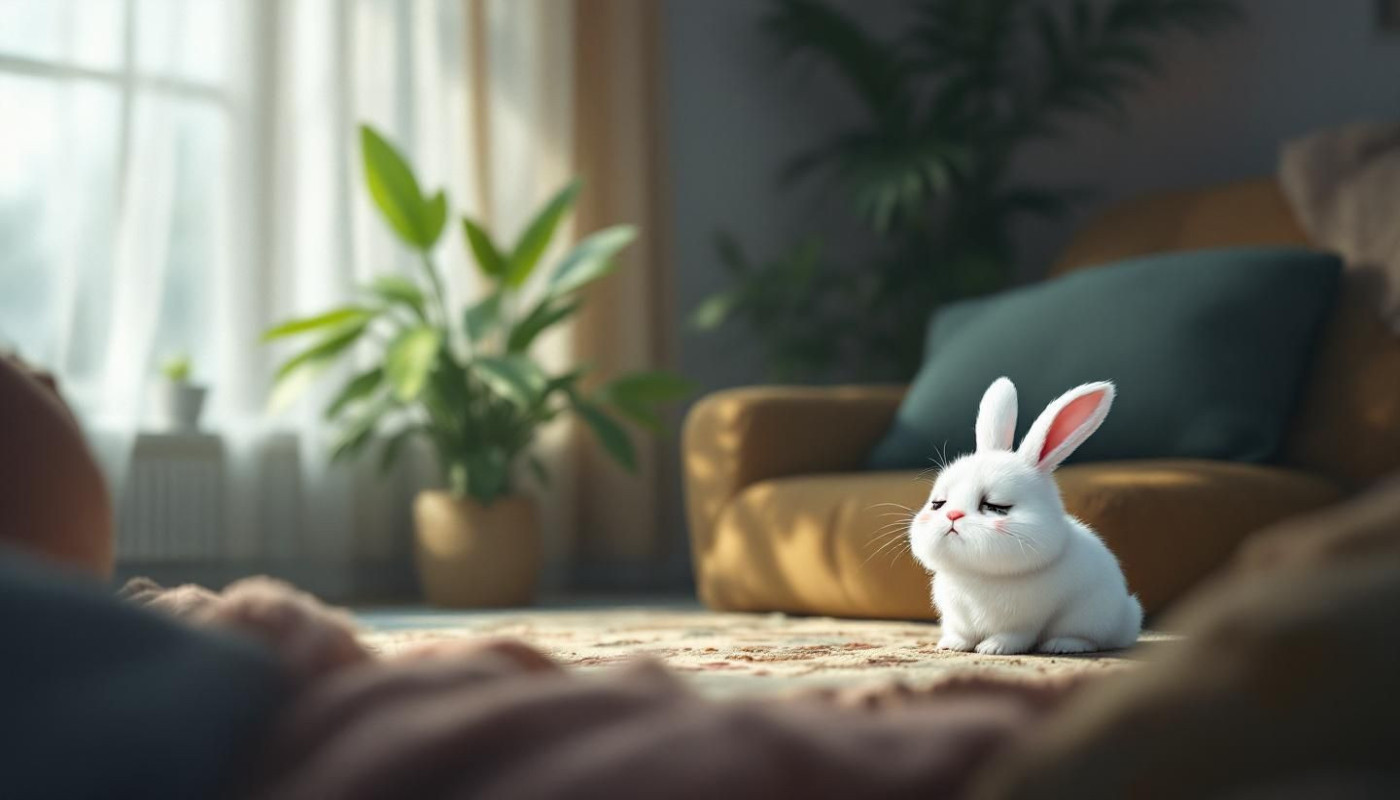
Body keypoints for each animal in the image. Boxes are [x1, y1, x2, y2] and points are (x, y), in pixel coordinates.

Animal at [907, 377, 1142, 655]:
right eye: (938, 504)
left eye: (995, 506)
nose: (954, 515)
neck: (976, 575)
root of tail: (1127, 620)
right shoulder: (958, 618)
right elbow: (962, 634)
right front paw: (951, 645)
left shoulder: (1025, 621)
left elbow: (1014, 637)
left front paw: (992, 648)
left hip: (1089, 616)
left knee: (1090, 639)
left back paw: (1061, 646)